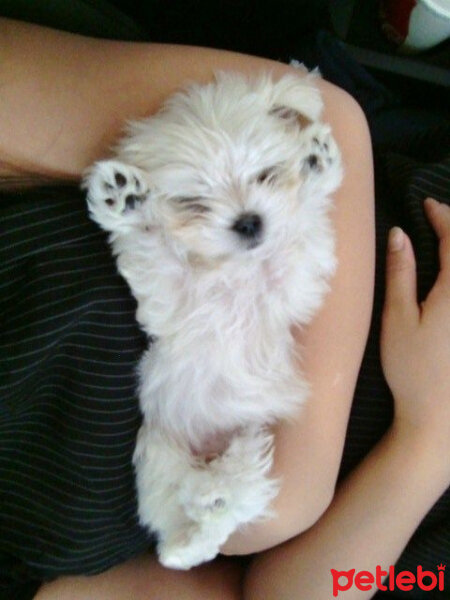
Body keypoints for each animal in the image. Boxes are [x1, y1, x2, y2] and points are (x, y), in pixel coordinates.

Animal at [83, 68, 342, 568]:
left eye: (266, 174)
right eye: (194, 201)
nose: (249, 221)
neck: (233, 271)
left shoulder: (293, 276)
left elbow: (300, 220)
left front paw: (315, 166)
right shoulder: (168, 295)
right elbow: (154, 246)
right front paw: (126, 201)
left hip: (249, 439)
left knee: (236, 493)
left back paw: (214, 498)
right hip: (158, 454)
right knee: (185, 520)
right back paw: (190, 528)